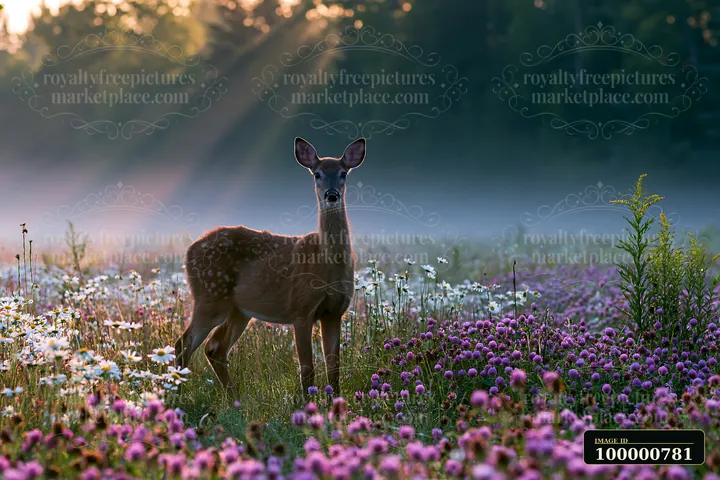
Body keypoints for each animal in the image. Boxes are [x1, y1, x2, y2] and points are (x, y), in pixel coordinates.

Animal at [175, 137, 366, 399]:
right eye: (317, 174)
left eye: (343, 173)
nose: (332, 195)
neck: (327, 266)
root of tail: (189, 251)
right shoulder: (301, 308)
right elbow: (307, 368)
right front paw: (309, 403)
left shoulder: (334, 312)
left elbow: (334, 368)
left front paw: (335, 403)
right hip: (210, 296)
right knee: (183, 344)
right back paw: (176, 396)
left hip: (239, 309)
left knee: (215, 348)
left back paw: (235, 400)